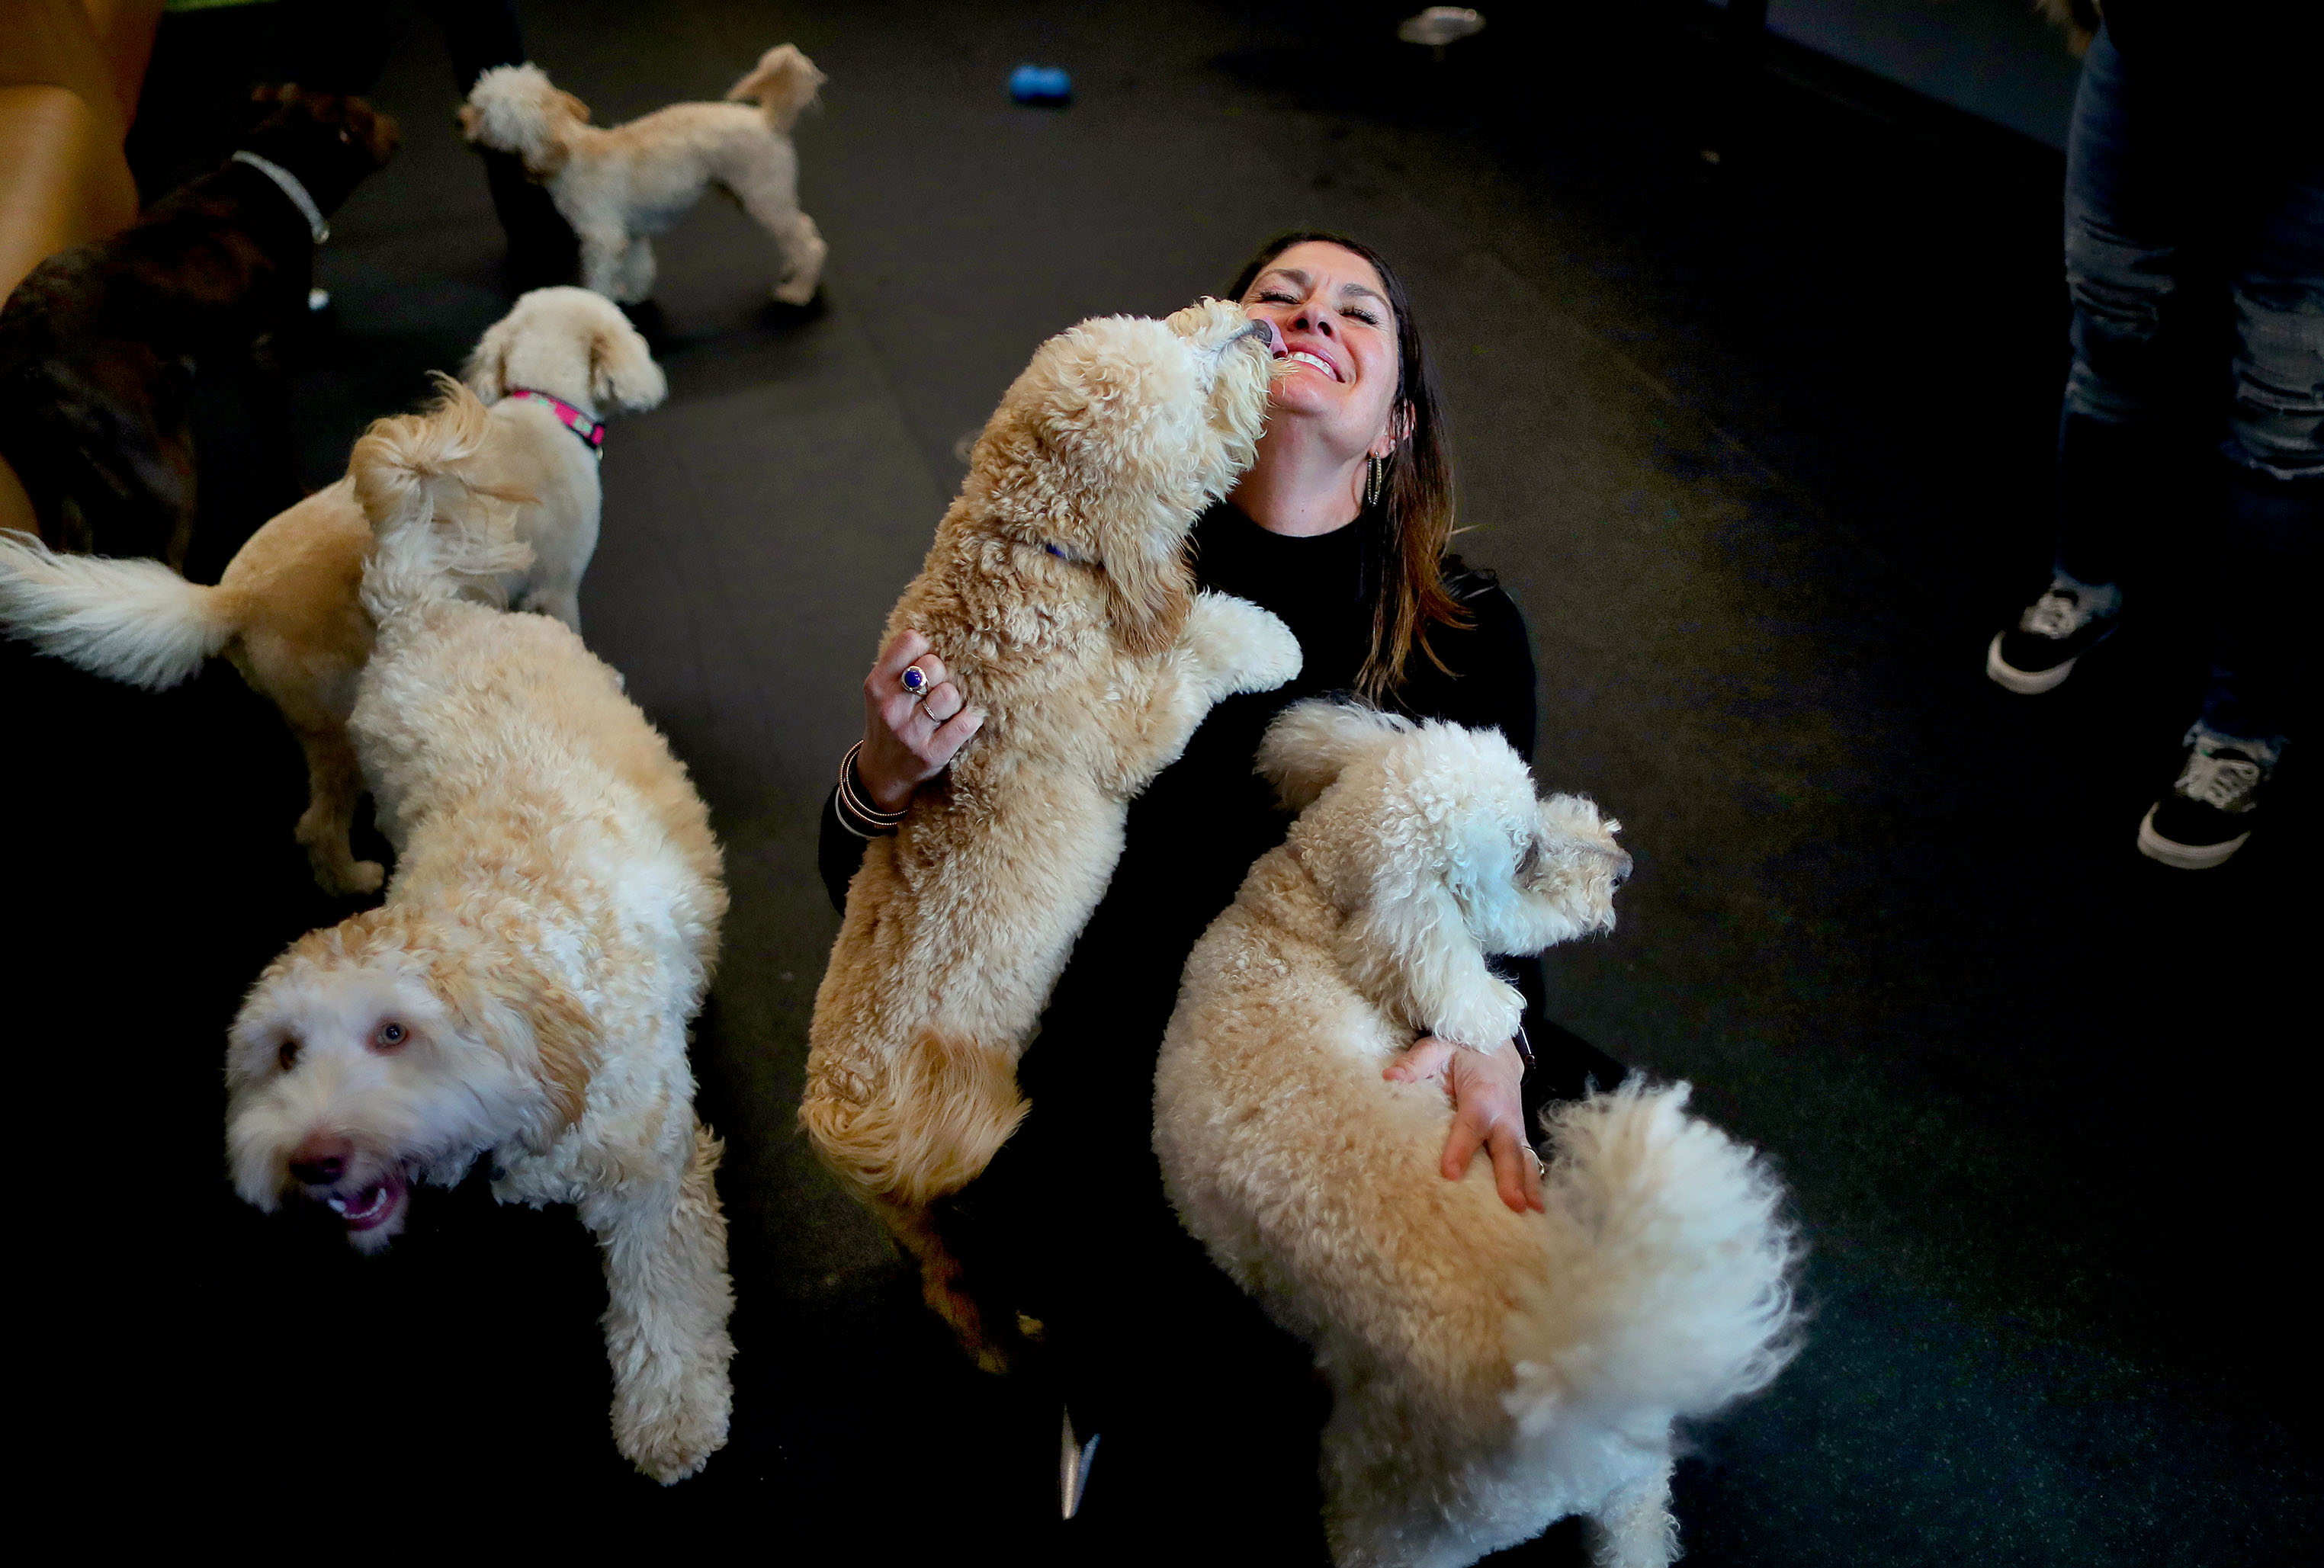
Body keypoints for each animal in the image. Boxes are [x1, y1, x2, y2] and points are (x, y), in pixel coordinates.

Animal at [0, 88, 400, 566]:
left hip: (57, 478)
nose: (395, 125)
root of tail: (23, 345)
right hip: (164, 468)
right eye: (368, 114)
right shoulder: (267, 355)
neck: (274, 180)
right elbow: (279, 444)